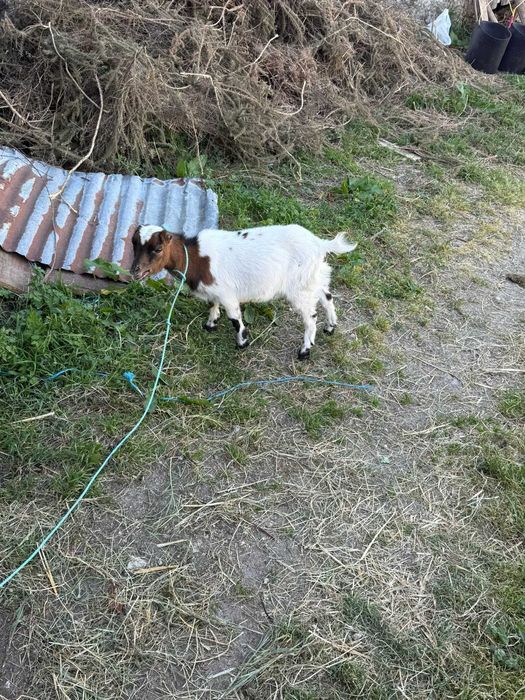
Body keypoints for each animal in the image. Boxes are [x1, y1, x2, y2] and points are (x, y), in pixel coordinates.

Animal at [130, 224, 356, 360]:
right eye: (133, 244)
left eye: (158, 248)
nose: (135, 271)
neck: (195, 257)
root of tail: (319, 243)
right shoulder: (215, 291)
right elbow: (212, 304)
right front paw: (210, 324)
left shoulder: (227, 293)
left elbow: (235, 318)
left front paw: (242, 342)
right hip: (313, 276)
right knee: (327, 296)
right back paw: (330, 327)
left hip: (299, 286)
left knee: (310, 316)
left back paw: (304, 350)